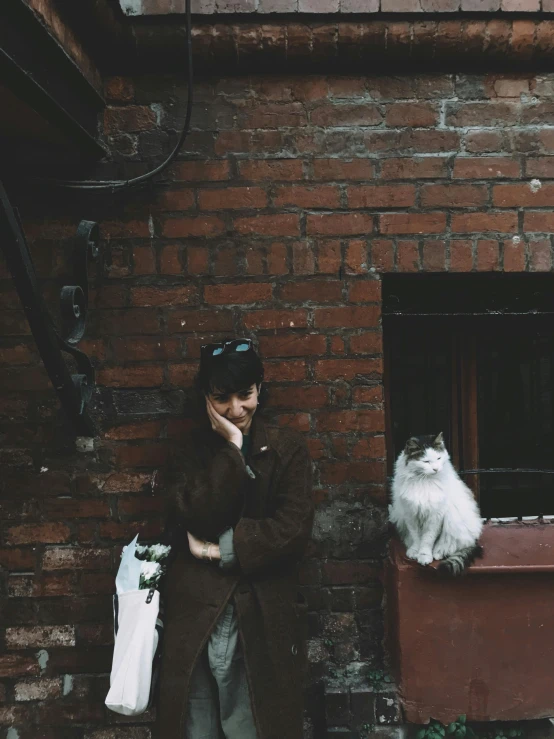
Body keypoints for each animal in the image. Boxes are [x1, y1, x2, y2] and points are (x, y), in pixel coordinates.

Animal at [388, 434, 478, 580]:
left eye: (438, 458)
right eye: (426, 461)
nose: (436, 469)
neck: (423, 481)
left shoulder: (434, 517)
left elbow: (427, 540)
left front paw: (424, 556)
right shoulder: (410, 515)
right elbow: (416, 537)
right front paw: (415, 551)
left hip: (454, 522)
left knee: (453, 545)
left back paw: (438, 553)